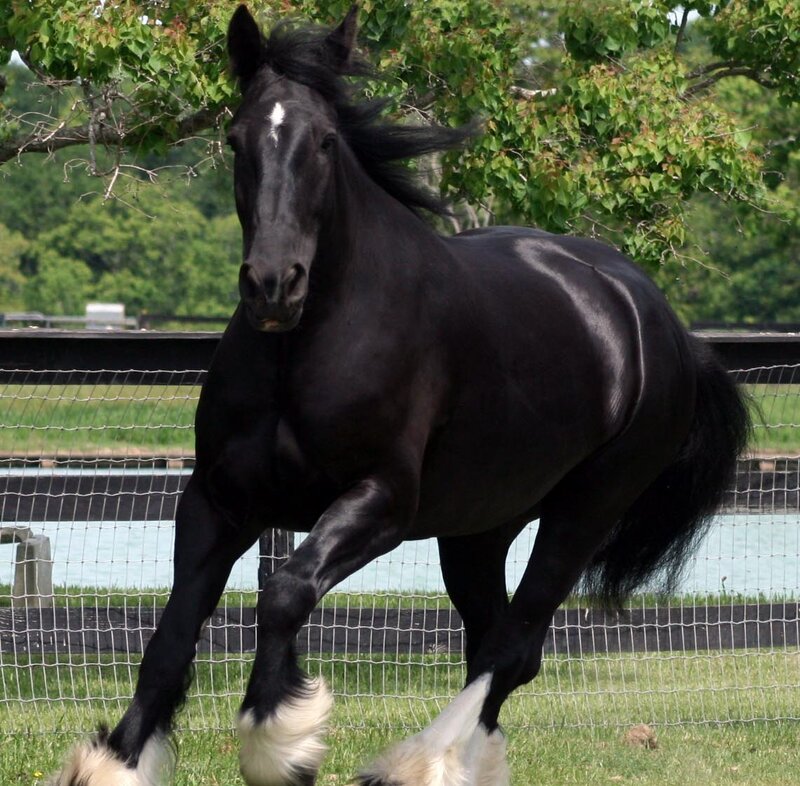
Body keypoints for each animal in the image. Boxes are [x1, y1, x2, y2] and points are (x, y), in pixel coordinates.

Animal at [51, 5, 750, 786]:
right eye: (236, 139)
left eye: (325, 140)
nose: (273, 286)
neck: (308, 347)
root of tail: (660, 322)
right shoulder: (218, 500)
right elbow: (173, 633)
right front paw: (115, 761)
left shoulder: (380, 500)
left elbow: (285, 591)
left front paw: (281, 741)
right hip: (480, 526)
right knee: (494, 643)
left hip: (585, 510)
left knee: (512, 646)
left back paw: (419, 761)